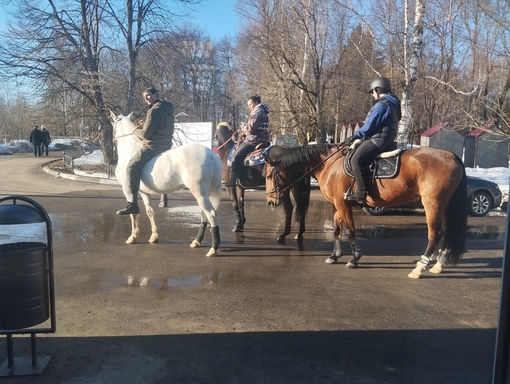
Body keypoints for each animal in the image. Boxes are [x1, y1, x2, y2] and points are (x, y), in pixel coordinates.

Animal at [110, 111, 222, 255]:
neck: (130, 149)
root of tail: (211, 154)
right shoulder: (144, 192)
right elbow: (150, 212)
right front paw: (154, 236)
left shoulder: (128, 190)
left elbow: (133, 213)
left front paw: (133, 237)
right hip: (205, 194)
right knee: (204, 214)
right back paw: (197, 242)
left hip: (200, 193)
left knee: (211, 214)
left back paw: (213, 249)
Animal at [264, 142, 468, 278]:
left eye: (268, 175)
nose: (271, 201)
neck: (330, 164)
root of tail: (451, 155)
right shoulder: (336, 204)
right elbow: (338, 229)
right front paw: (334, 255)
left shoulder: (343, 204)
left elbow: (351, 230)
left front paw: (354, 258)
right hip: (444, 206)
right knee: (447, 232)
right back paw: (439, 265)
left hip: (432, 205)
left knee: (435, 234)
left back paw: (419, 268)